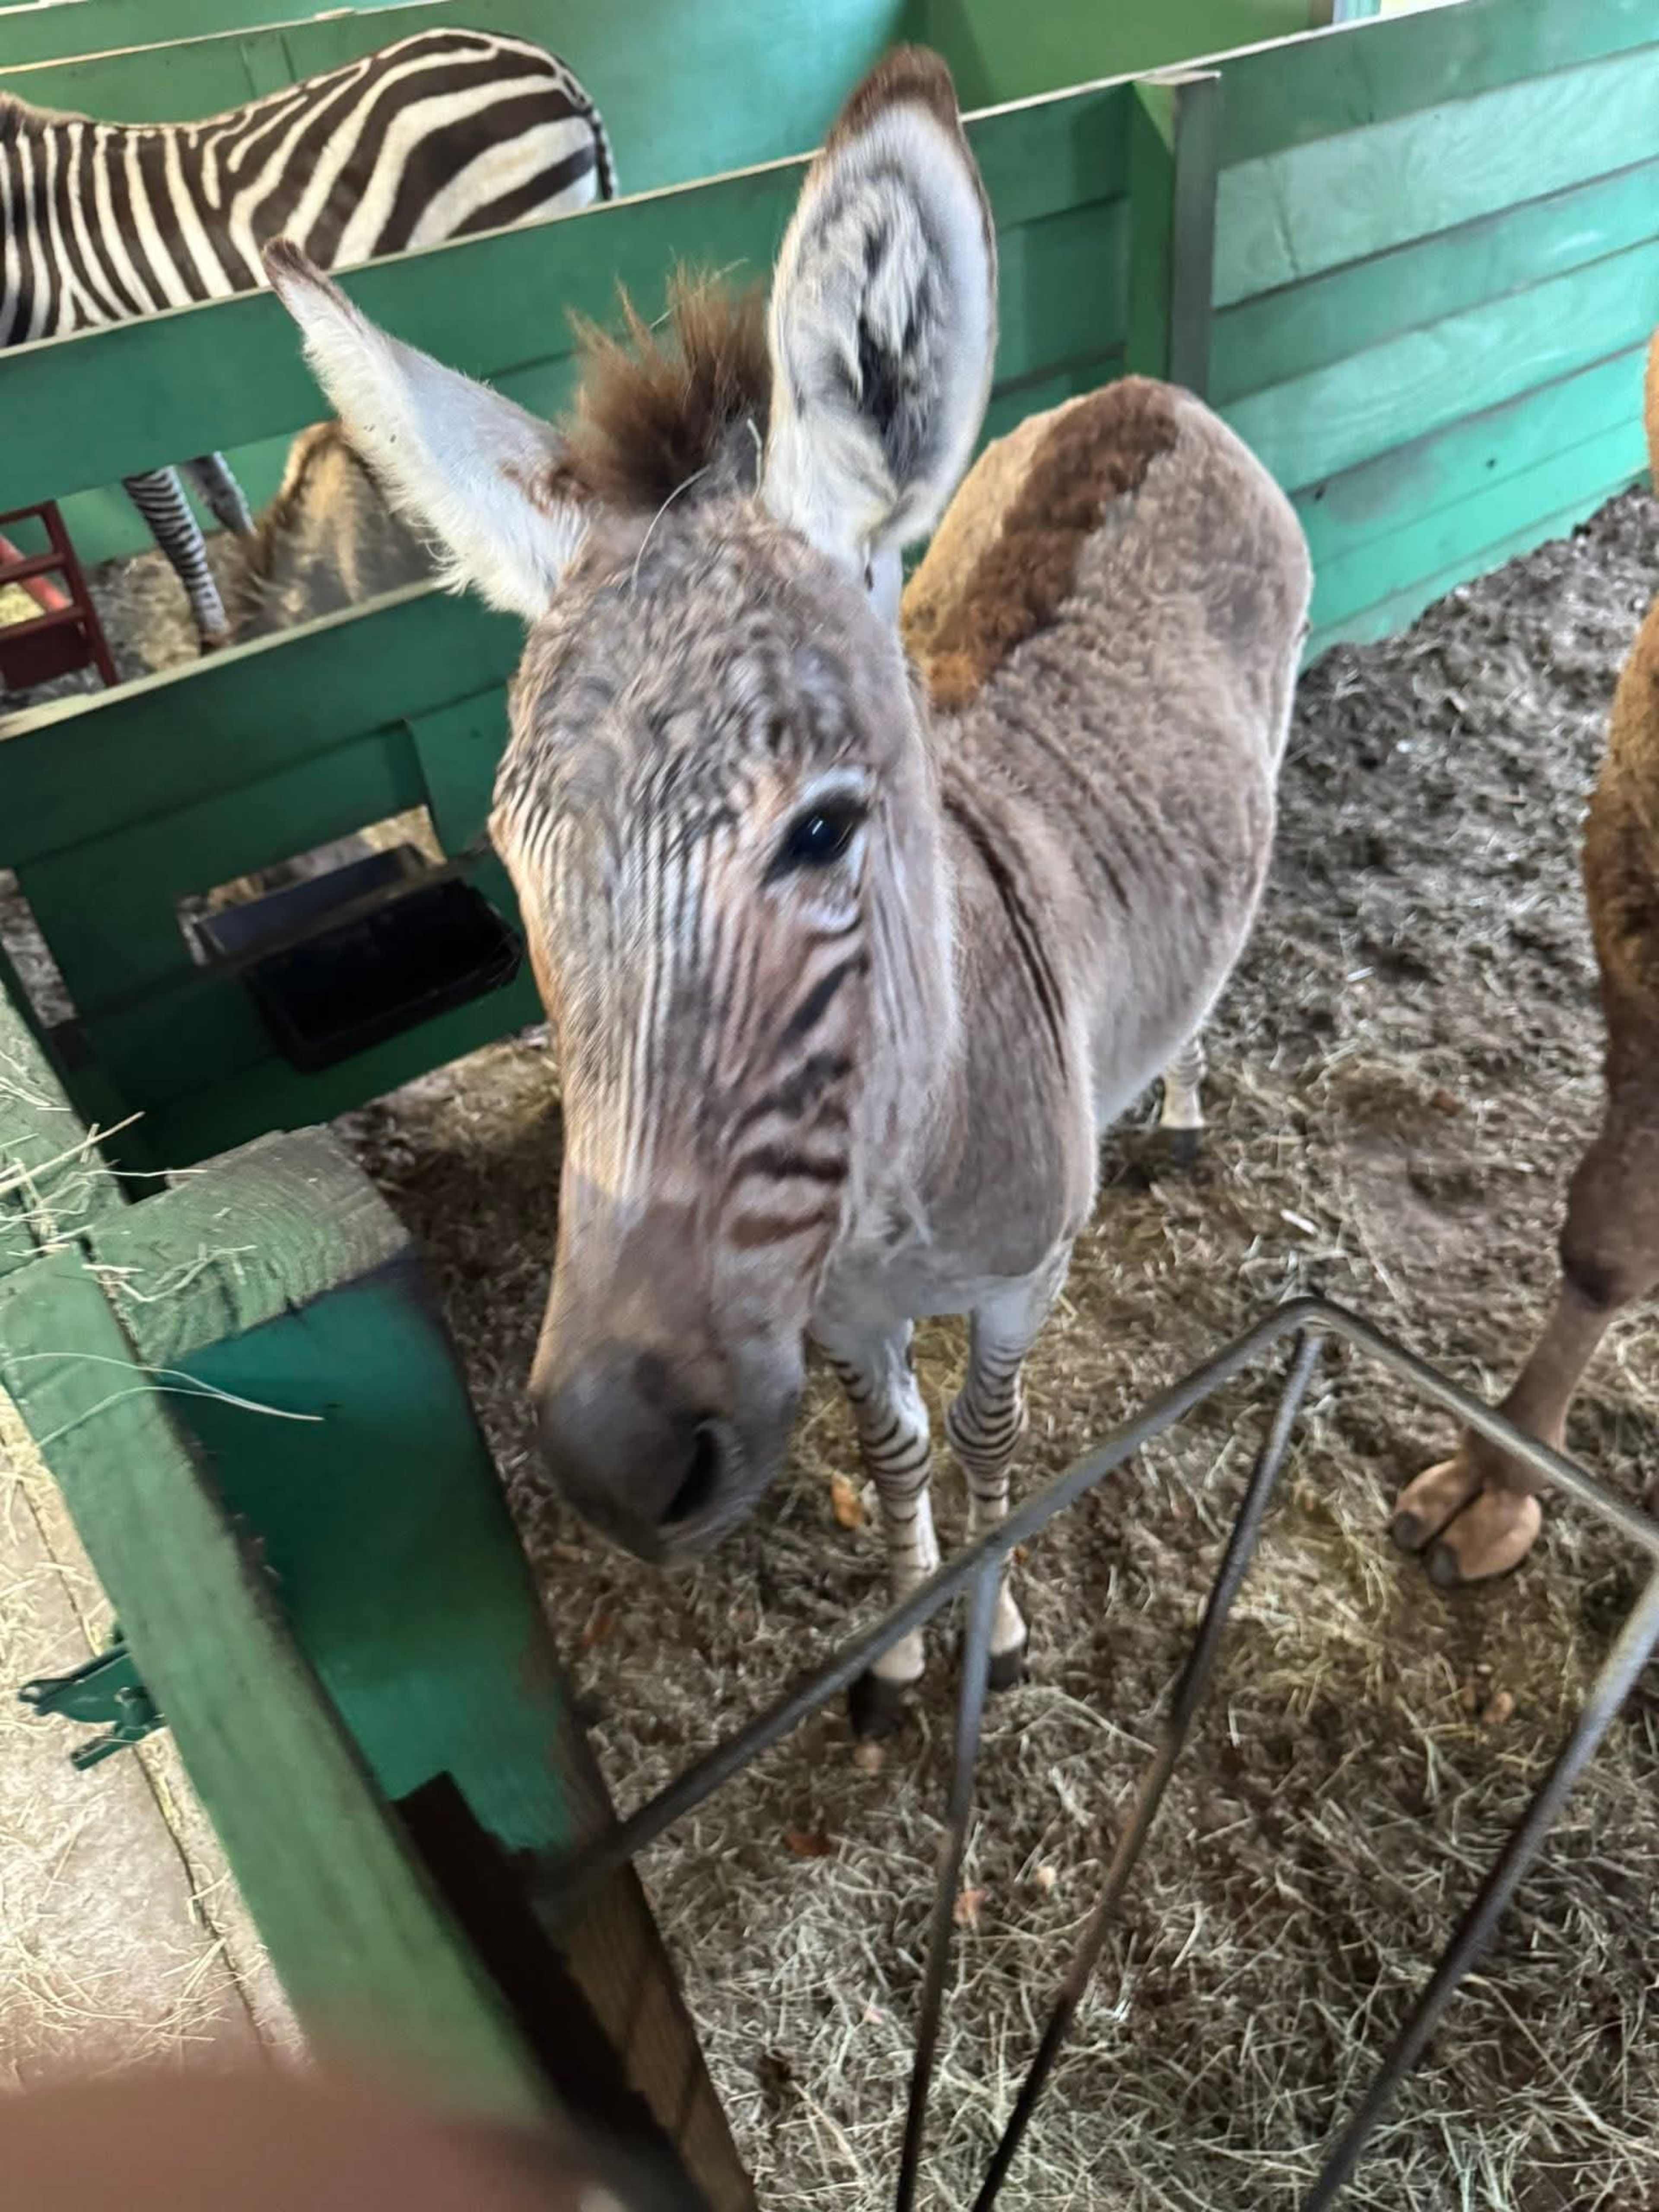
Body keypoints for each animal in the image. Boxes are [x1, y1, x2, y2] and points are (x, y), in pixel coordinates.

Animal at [0, 28, 615, 650]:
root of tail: (550, 68)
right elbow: (222, 496)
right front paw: (256, 573)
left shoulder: (113, 408)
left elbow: (174, 529)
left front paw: (214, 633)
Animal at [263, 48, 1310, 1734]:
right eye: (512, 855)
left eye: (821, 832)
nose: (614, 1463)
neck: (890, 1181)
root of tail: (1145, 394)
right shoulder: (829, 1314)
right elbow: (893, 1451)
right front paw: (897, 1647)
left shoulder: (1022, 1275)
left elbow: (990, 1442)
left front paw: (992, 1628)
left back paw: (1183, 1105)